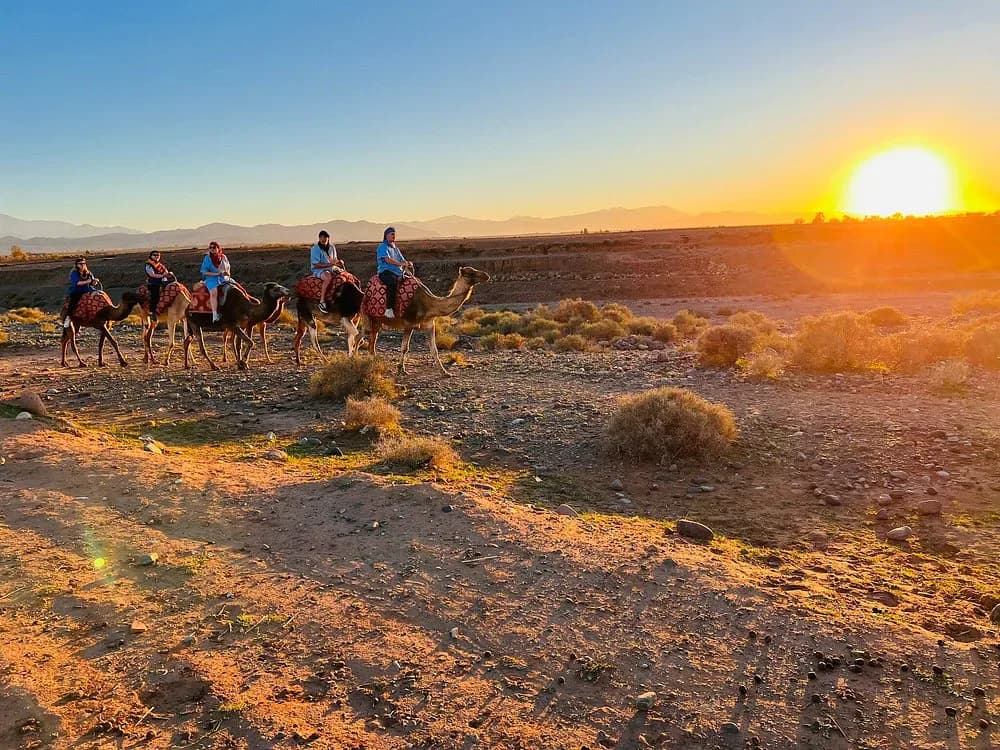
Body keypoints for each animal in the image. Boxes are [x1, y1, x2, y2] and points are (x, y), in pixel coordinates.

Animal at [361, 266, 490, 376]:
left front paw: (445, 372)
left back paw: (372, 362)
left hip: (377, 321)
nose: (486, 275)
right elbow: (405, 348)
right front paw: (401, 369)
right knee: (364, 337)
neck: (429, 304)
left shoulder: (429, 325)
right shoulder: (409, 324)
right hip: (368, 316)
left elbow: (434, 350)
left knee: (371, 342)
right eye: (470, 272)